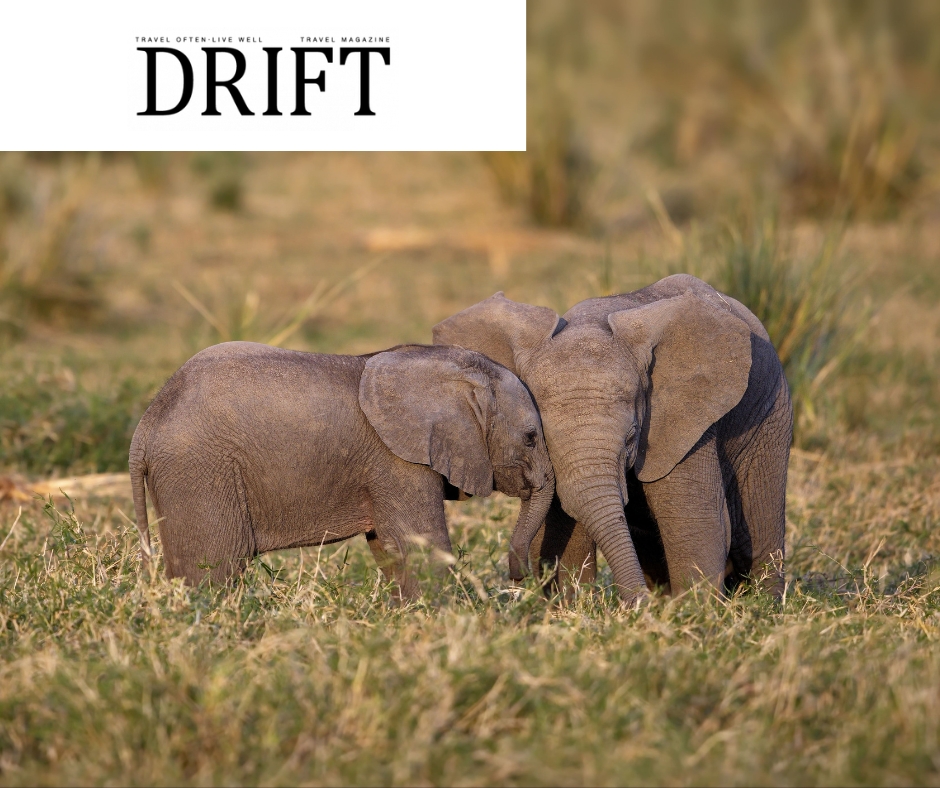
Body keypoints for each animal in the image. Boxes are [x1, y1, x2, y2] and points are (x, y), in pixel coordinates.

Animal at [129, 341, 555, 597]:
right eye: (531, 438)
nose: (522, 578)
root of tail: (145, 424)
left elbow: (389, 548)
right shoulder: (396, 459)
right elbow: (420, 544)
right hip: (199, 470)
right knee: (216, 568)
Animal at [433, 274, 792, 605]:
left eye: (632, 436)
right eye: (539, 438)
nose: (516, 574)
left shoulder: (686, 425)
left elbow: (694, 521)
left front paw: (693, 615)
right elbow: (565, 527)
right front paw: (575, 609)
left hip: (771, 416)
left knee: (758, 528)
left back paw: (765, 605)